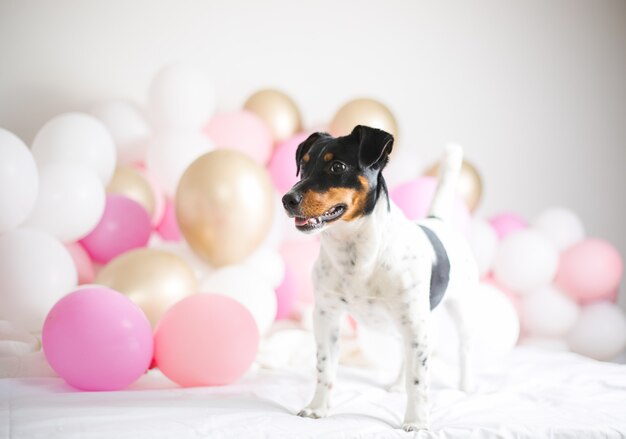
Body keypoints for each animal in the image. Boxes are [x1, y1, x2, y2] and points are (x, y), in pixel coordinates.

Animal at [280, 125, 476, 432]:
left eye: (337, 167)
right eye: (303, 165)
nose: (287, 199)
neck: (356, 255)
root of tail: (438, 220)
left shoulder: (415, 324)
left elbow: (418, 380)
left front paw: (416, 422)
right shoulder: (326, 316)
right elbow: (325, 368)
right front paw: (317, 408)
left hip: (457, 311)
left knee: (463, 349)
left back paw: (466, 387)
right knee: (405, 355)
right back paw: (396, 384)